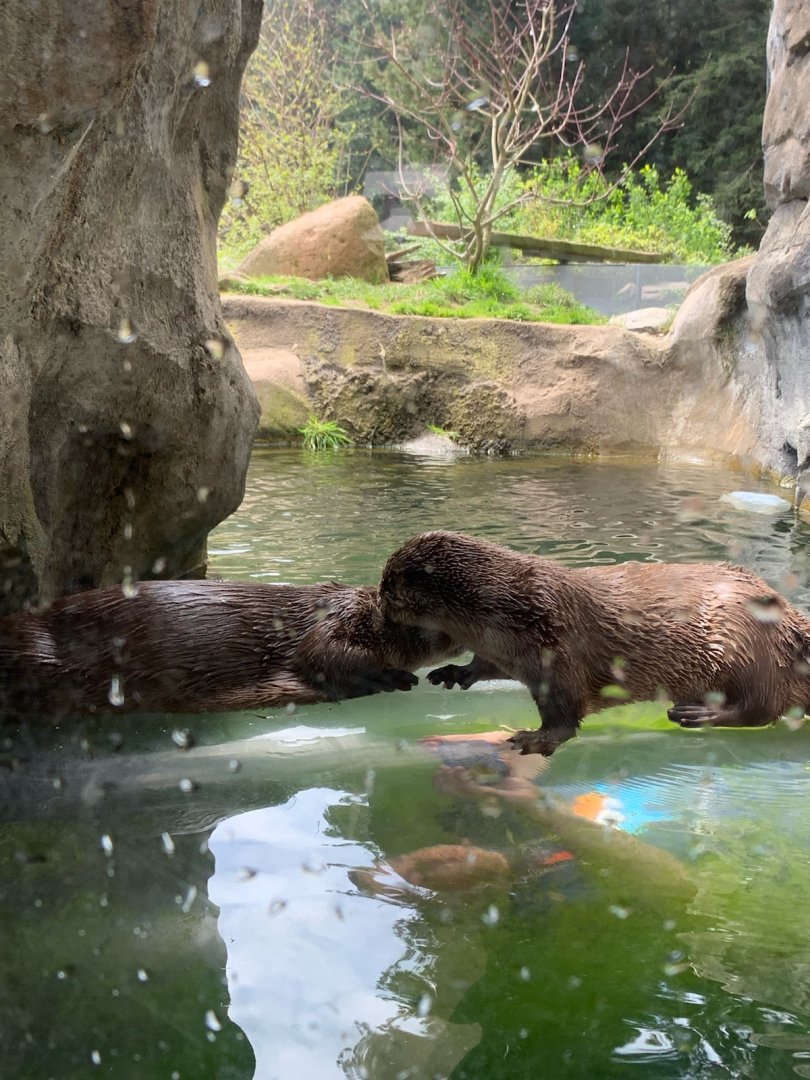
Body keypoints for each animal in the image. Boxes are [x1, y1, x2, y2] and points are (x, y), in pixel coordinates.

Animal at [379, 530, 810, 755]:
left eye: (389, 590)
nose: (380, 609)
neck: (506, 604)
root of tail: (791, 619)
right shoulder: (506, 649)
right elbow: (486, 665)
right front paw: (455, 672)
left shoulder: (556, 648)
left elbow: (565, 715)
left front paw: (535, 739)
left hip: (744, 646)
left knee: (763, 707)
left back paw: (697, 714)